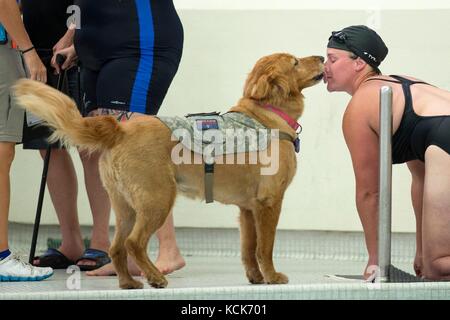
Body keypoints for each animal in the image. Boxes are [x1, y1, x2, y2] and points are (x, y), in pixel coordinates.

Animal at [13, 53, 324, 290]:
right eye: (295, 62)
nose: (322, 57)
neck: (267, 114)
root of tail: (120, 130)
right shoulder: (269, 203)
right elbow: (265, 247)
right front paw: (272, 276)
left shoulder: (247, 208)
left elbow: (249, 248)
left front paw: (255, 277)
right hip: (158, 199)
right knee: (134, 243)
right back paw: (155, 277)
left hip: (125, 205)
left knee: (117, 247)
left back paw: (129, 282)